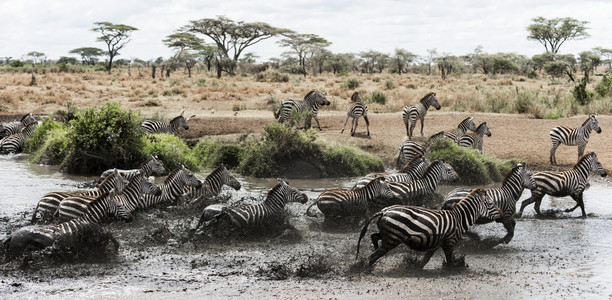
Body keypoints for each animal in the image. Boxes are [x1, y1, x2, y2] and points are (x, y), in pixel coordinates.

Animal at [354, 189, 502, 268]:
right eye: (491, 204)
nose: (501, 214)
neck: (459, 218)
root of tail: (384, 211)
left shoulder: (437, 242)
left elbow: (427, 257)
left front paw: (418, 266)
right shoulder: (449, 241)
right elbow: (449, 260)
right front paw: (454, 268)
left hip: (389, 235)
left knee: (374, 236)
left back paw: (373, 251)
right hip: (392, 238)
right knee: (374, 255)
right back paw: (368, 269)